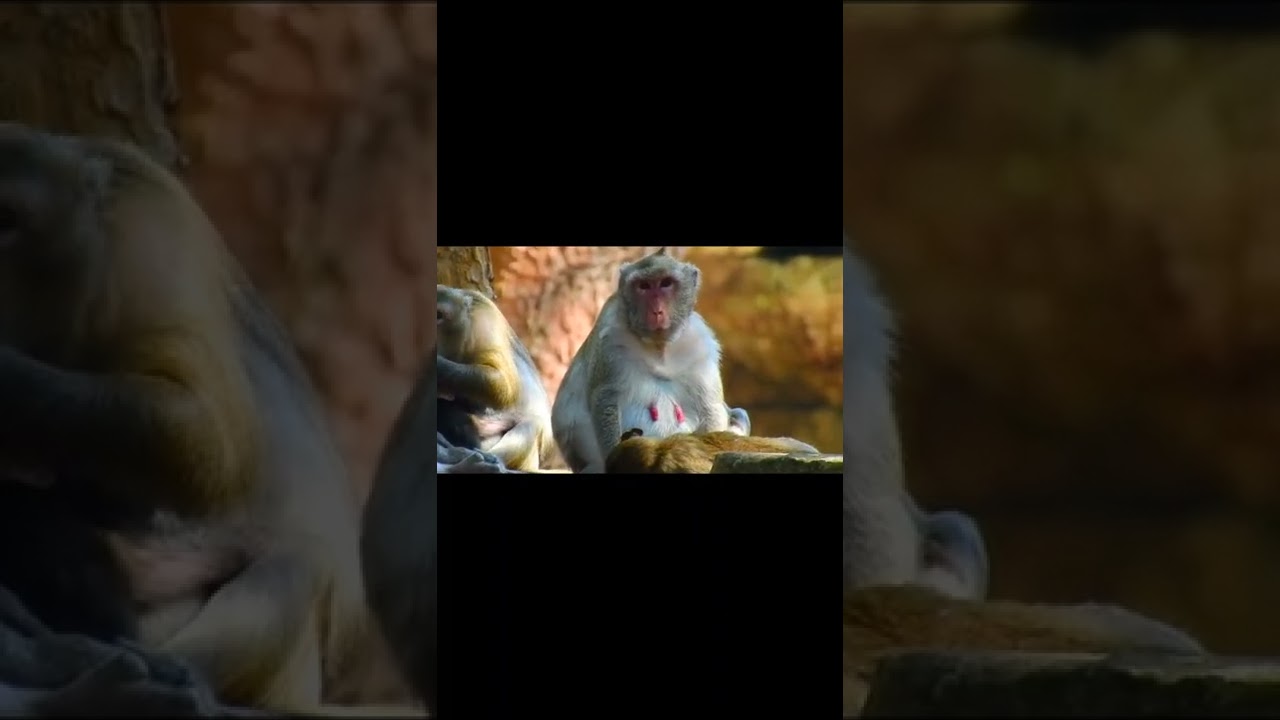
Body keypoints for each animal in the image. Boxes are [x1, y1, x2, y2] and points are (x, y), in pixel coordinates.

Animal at [551, 247, 752, 473]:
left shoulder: (701, 345)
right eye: (644, 286)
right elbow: (605, 399)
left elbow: (711, 407)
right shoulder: (610, 339)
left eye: (666, 283)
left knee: (738, 413)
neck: (659, 347)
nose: (656, 311)